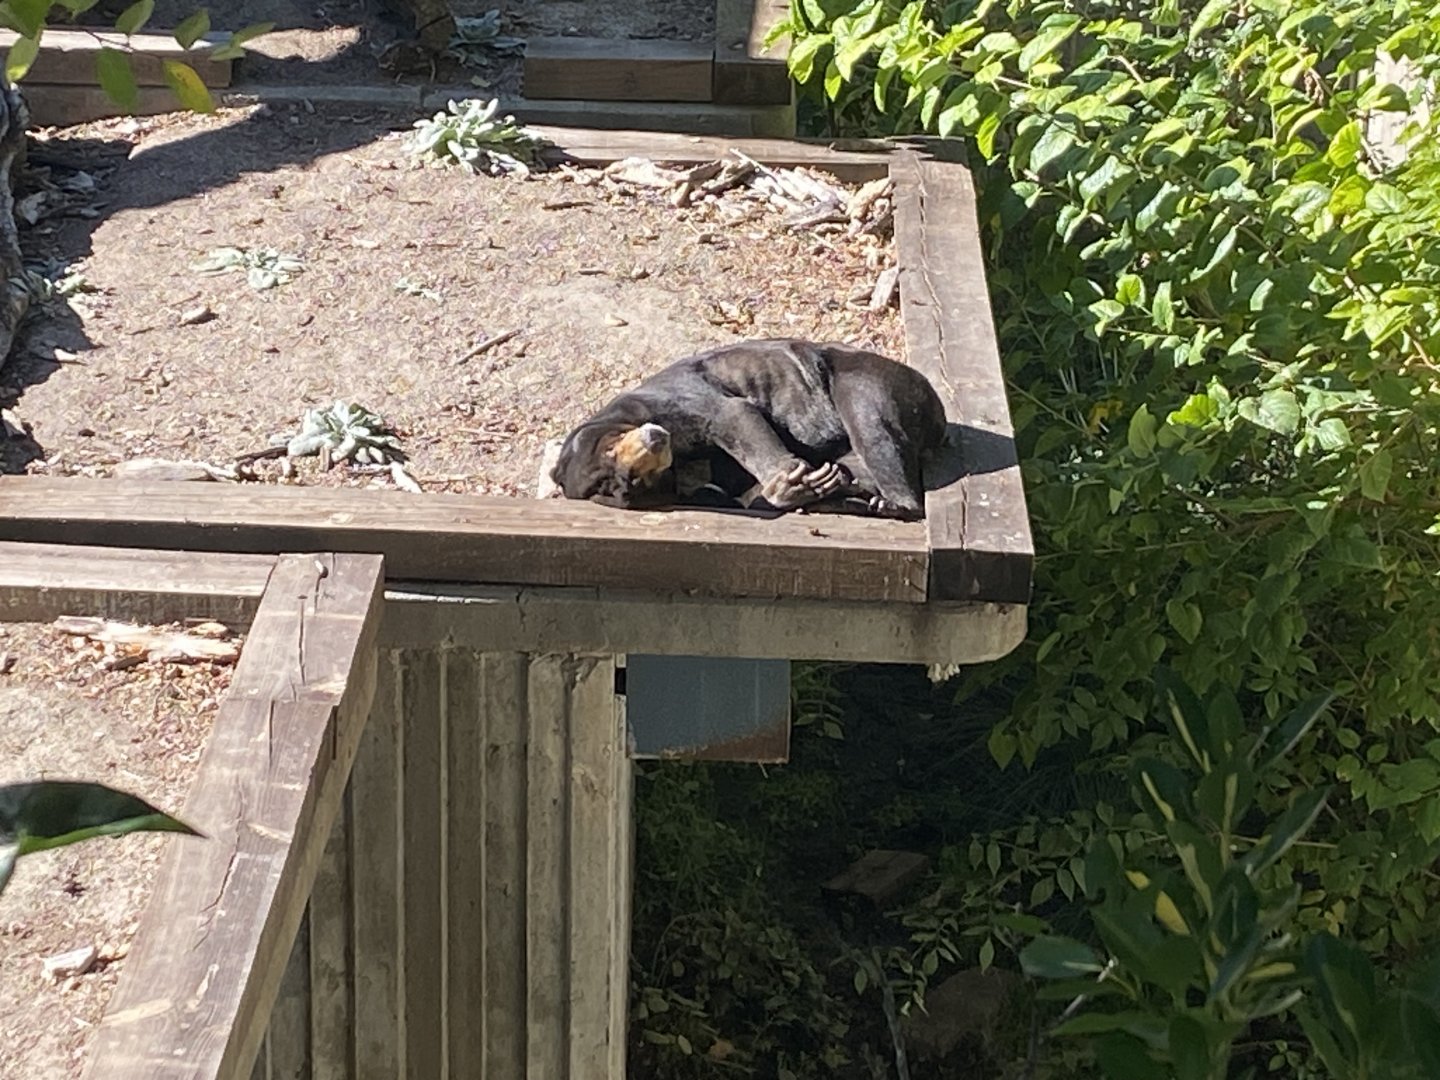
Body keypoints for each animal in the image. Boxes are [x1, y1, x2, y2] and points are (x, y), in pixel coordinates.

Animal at [550, 338, 947, 520]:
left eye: (610, 448)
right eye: (631, 484)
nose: (655, 442)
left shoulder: (676, 397)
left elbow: (733, 416)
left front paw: (793, 483)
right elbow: (729, 488)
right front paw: (809, 487)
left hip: (872, 381)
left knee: (872, 428)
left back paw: (890, 503)